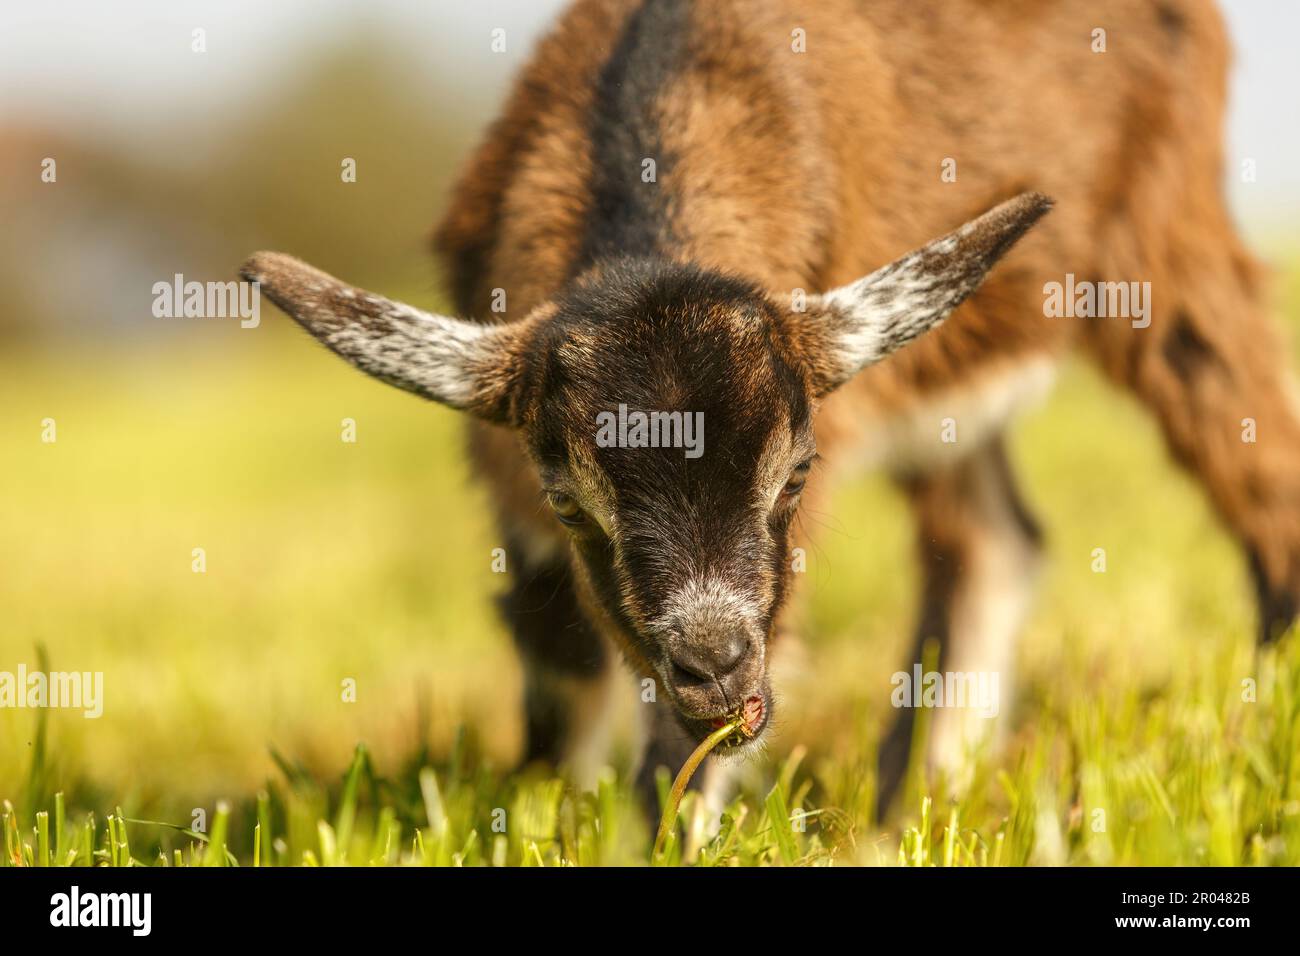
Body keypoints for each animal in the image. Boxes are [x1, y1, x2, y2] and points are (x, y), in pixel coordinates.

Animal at [241, 0, 1300, 816]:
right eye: (571, 502)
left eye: (796, 473)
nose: (715, 671)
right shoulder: (515, 493)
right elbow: (555, 653)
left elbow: (680, 756)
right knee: (992, 535)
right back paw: (906, 805)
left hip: (1163, 234)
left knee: (1254, 451)